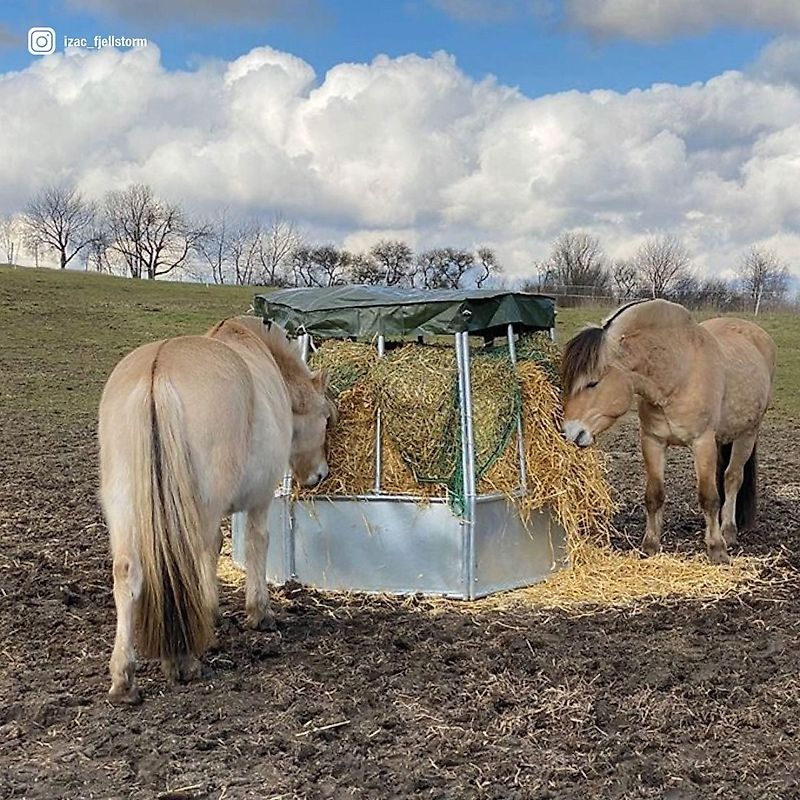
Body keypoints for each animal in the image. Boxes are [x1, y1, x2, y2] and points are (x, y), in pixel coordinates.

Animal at [97, 316, 334, 704]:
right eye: (326, 418)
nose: (319, 474)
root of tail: (157, 372)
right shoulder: (259, 499)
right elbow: (254, 544)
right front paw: (257, 613)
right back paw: (184, 662)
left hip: (123, 507)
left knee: (128, 574)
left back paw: (124, 679)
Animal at [556, 296, 776, 564]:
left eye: (593, 382)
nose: (569, 431)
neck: (678, 372)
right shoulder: (653, 441)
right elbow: (654, 495)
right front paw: (650, 545)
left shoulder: (702, 443)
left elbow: (709, 497)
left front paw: (716, 549)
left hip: (748, 434)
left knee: (732, 478)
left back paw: (728, 531)